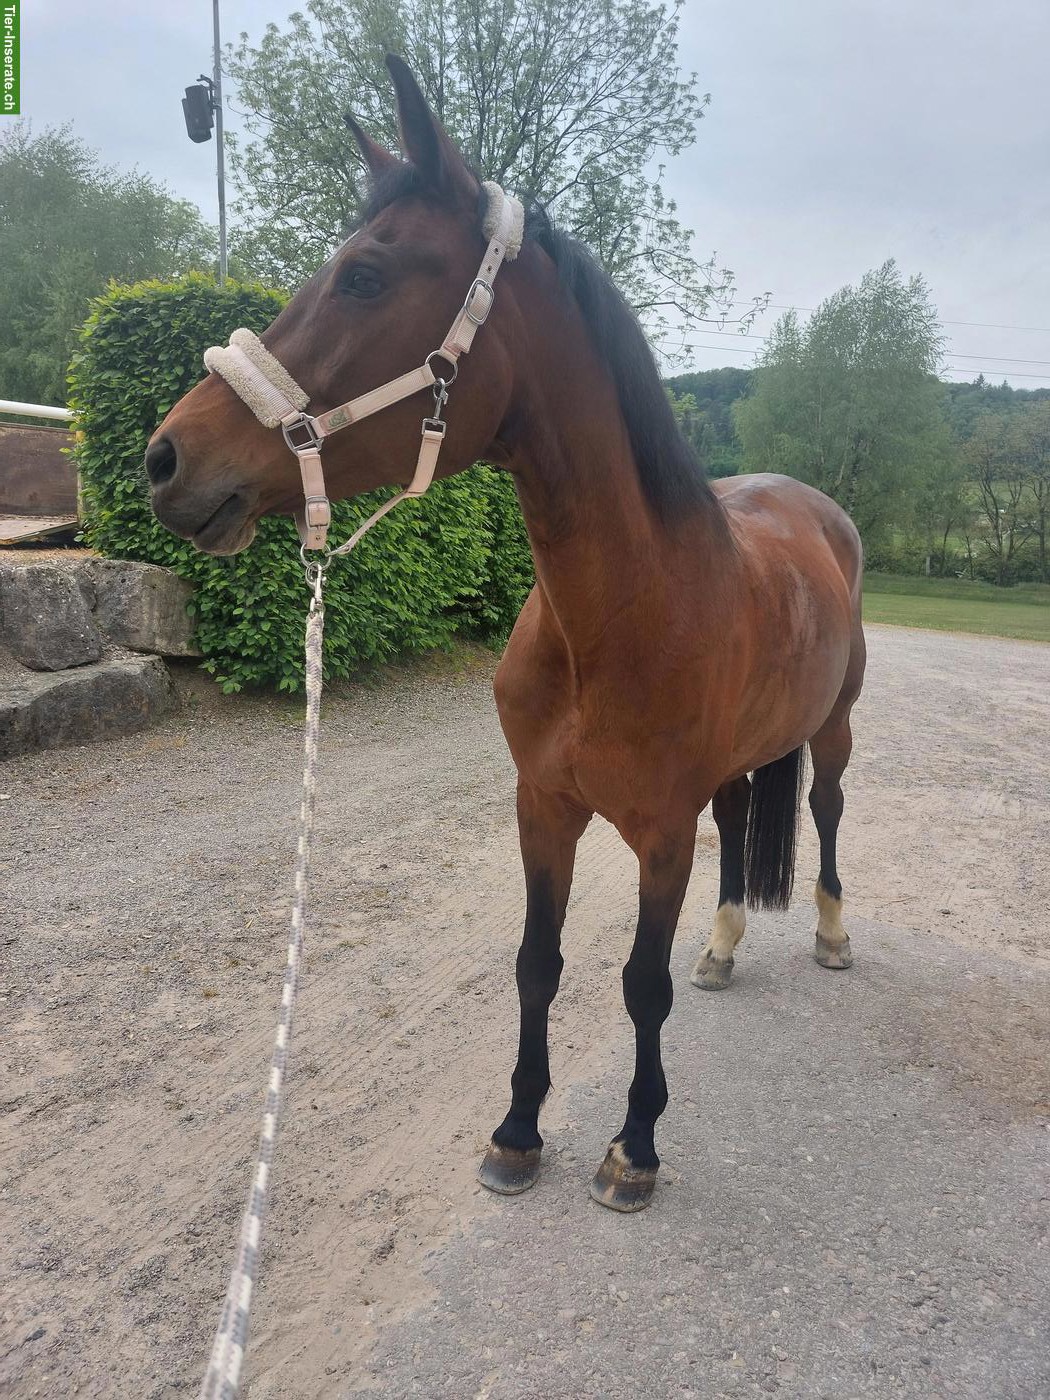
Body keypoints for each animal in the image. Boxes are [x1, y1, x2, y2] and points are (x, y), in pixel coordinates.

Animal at [145, 55, 865, 1213]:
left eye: (364, 276)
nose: (166, 458)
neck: (615, 617)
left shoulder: (659, 831)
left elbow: (639, 982)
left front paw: (635, 1147)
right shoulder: (542, 808)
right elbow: (539, 964)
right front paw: (519, 1129)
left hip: (836, 728)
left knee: (832, 812)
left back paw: (835, 935)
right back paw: (722, 946)